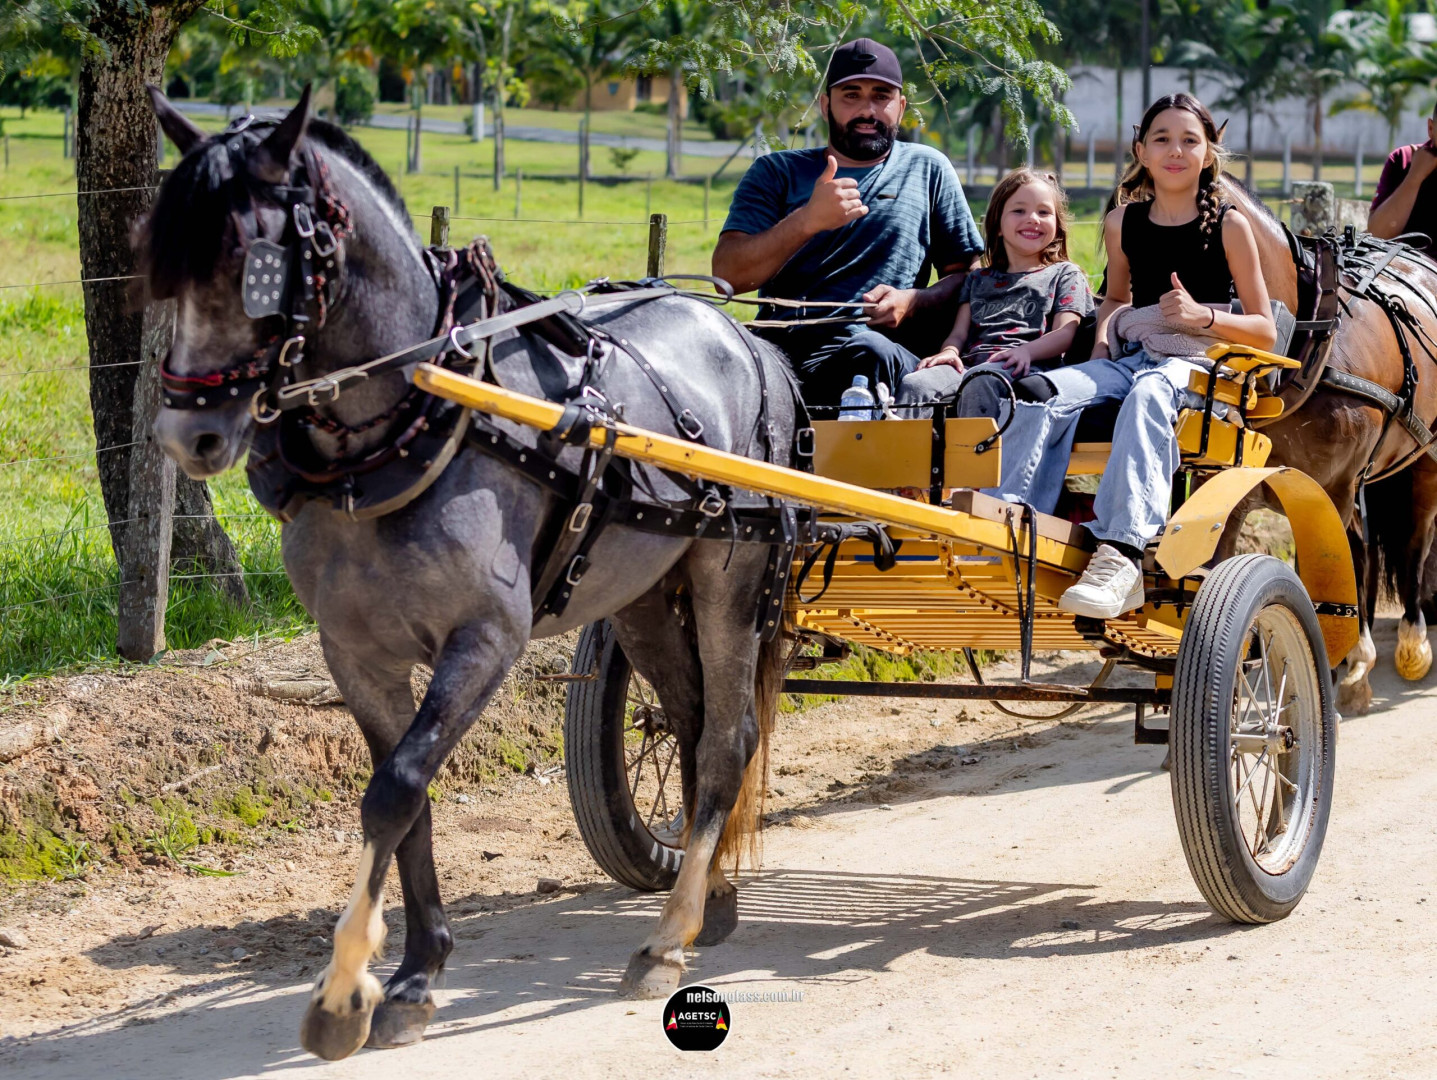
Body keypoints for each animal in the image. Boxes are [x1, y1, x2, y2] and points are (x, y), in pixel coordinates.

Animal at [141, 87, 798, 1060]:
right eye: (164, 264)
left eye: (253, 262)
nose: (188, 435)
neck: (418, 418)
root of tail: (751, 342)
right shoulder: (355, 654)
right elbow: (404, 798)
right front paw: (413, 974)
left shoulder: (486, 638)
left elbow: (396, 788)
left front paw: (347, 990)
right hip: (641, 596)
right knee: (686, 719)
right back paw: (708, 898)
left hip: (732, 573)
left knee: (727, 739)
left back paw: (666, 944)